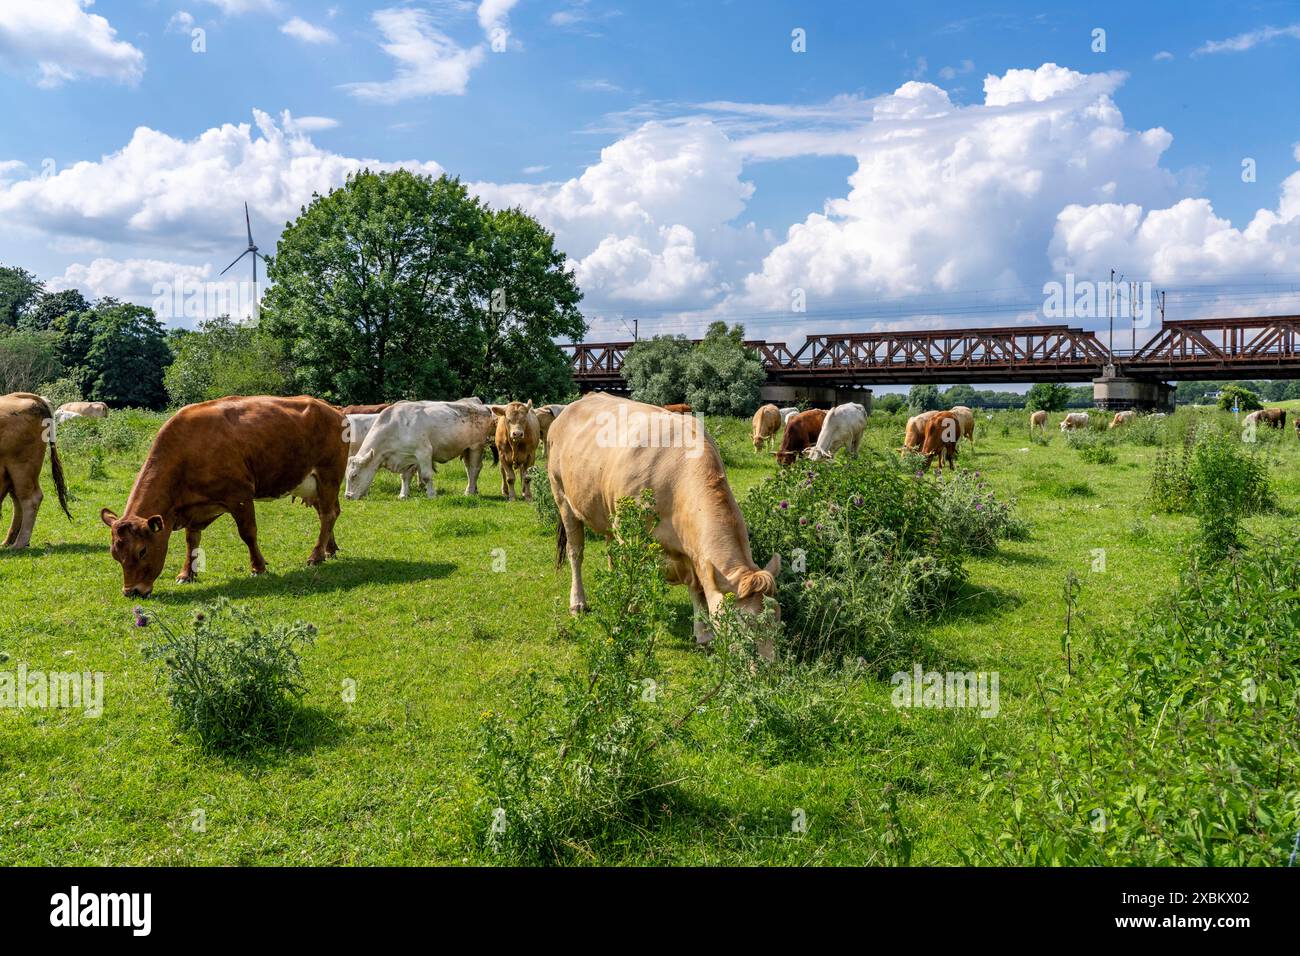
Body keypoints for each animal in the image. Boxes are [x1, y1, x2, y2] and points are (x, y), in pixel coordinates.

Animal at [100, 396, 346, 597]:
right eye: (114, 554)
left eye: (142, 551)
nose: (131, 592)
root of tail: (331, 409)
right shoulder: (195, 508)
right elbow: (192, 540)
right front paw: (186, 574)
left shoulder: (240, 496)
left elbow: (248, 533)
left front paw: (258, 567)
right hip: (314, 485)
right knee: (330, 513)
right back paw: (330, 549)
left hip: (328, 476)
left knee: (327, 514)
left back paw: (316, 555)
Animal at [345, 400, 493, 500]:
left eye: (354, 475)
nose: (347, 496)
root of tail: (480, 405)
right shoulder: (407, 457)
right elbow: (405, 476)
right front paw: (403, 495)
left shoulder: (424, 452)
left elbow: (426, 475)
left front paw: (431, 494)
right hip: (466, 449)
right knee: (468, 469)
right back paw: (473, 490)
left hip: (476, 447)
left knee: (474, 469)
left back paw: (469, 492)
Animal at [547, 393, 781, 654]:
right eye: (743, 625)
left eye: (777, 621)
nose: (766, 667)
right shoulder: (631, 536)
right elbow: (634, 578)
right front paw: (630, 617)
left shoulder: (693, 552)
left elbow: (698, 589)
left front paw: (703, 634)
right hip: (562, 496)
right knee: (575, 552)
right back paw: (578, 602)